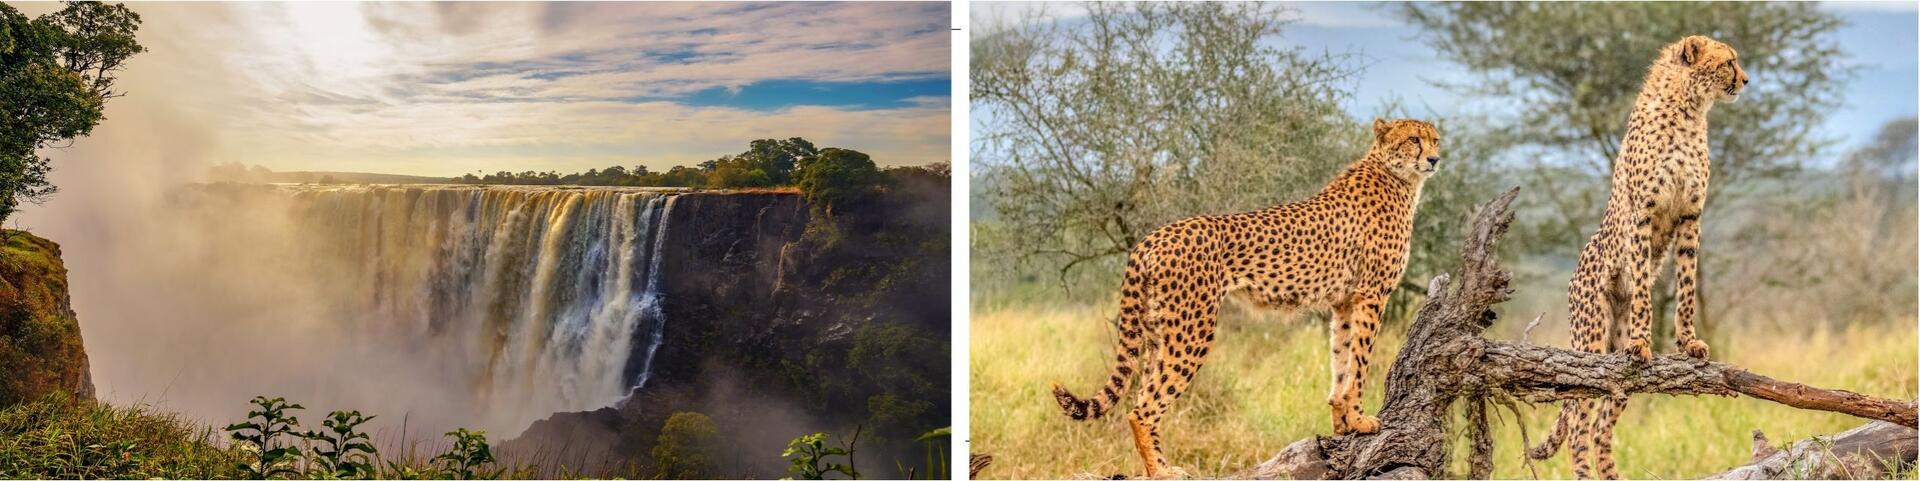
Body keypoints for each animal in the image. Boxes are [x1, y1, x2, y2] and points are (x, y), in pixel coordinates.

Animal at [1051, 118, 1442, 478]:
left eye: (1435, 139)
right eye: (1413, 139)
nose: (1435, 158)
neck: (1397, 176)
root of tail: (1153, 236)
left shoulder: (1344, 301)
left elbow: (1342, 360)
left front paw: (1343, 423)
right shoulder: (1371, 295)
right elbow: (1360, 362)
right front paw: (1361, 421)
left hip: (1157, 333)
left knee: (1142, 394)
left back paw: (1159, 465)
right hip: (1192, 331)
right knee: (1142, 409)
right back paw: (1162, 472)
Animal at [1526, 35, 1748, 480]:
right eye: (1729, 62)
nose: (1746, 80)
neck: (1689, 111)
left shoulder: (1690, 217)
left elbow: (1686, 287)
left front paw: (1689, 342)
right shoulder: (1643, 215)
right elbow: (1645, 286)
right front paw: (1645, 343)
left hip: (1615, 369)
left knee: (1600, 428)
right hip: (1591, 344)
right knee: (1578, 424)